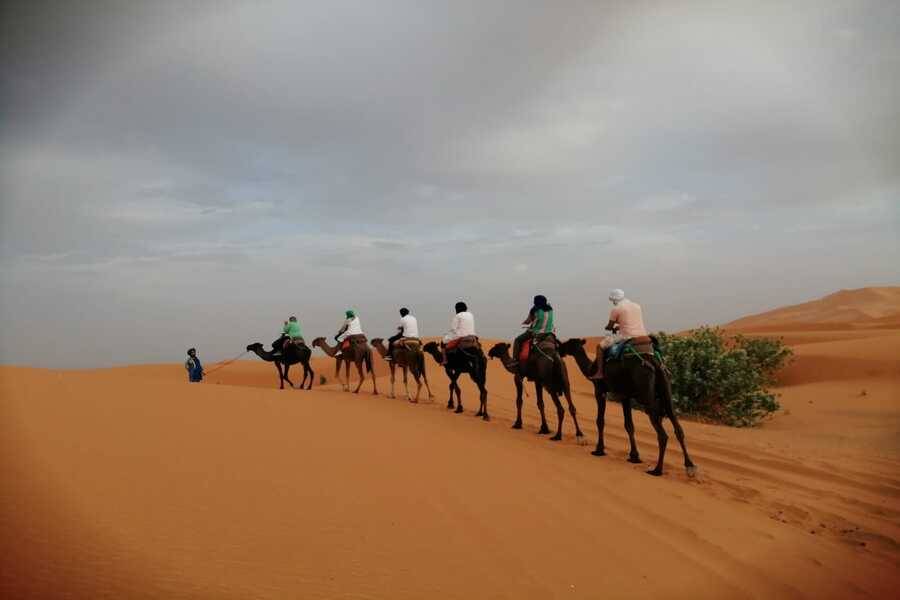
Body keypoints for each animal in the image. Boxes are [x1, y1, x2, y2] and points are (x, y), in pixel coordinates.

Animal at [556, 340, 696, 476]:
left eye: (568, 343)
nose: (559, 348)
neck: (591, 370)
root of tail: (655, 364)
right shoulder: (625, 396)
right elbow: (629, 425)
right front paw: (634, 456)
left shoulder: (600, 390)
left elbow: (600, 421)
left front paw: (599, 450)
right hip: (666, 389)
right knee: (677, 426)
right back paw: (690, 466)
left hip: (647, 395)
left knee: (662, 434)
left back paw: (657, 470)